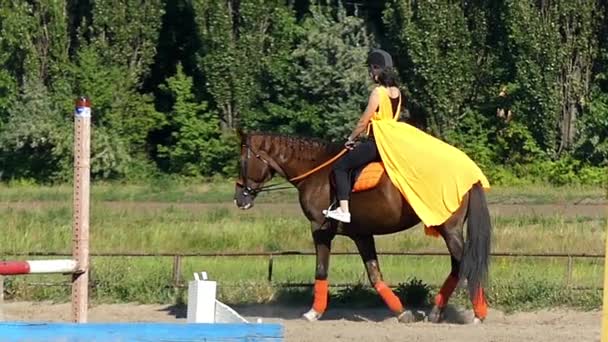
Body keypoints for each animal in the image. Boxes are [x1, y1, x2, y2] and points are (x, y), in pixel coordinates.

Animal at [234, 131, 494, 324]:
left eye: (242, 161)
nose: (239, 199)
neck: (317, 171)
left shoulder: (320, 229)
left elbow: (321, 269)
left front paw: (313, 312)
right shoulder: (361, 234)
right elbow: (374, 274)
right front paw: (401, 312)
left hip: (449, 229)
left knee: (466, 263)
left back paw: (478, 313)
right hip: (448, 230)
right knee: (458, 266)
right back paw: (437, 312)